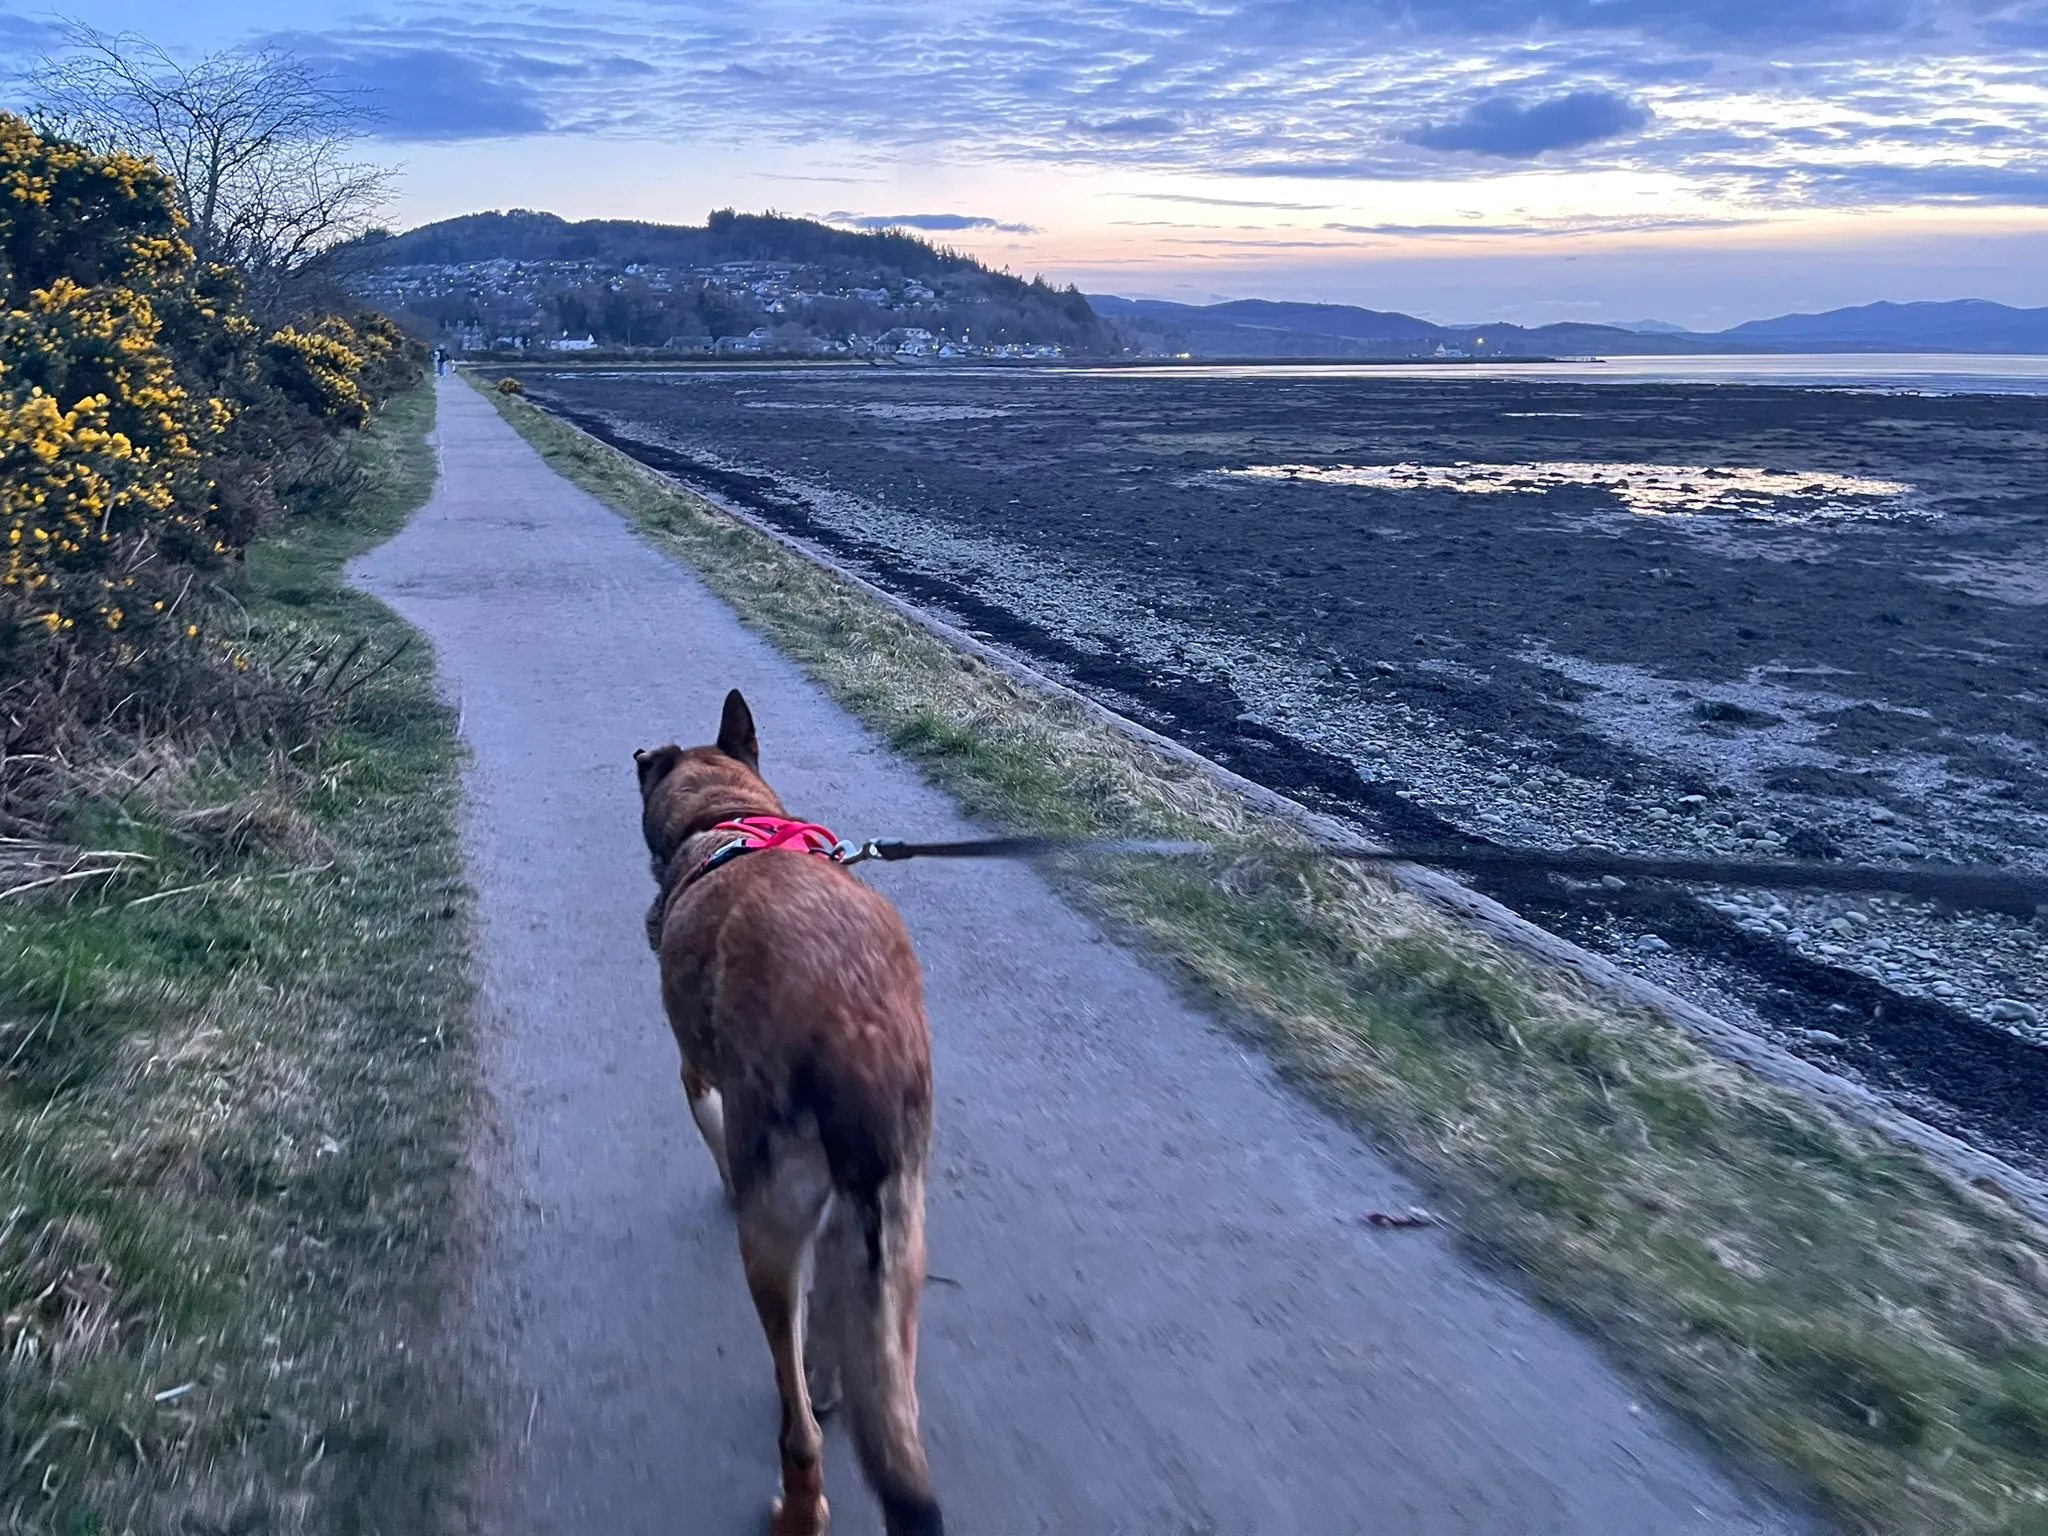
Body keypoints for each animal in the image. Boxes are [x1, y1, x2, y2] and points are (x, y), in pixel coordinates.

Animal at [630, 692, 942, 1531]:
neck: (728, 817)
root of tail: (855, 1031)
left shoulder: (697, 1074)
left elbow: (711, 1134)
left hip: (774, 1237)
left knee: (798, 1424)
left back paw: (799, 1508)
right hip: (891, 1233)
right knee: (871, 1371)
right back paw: (835, 1385)